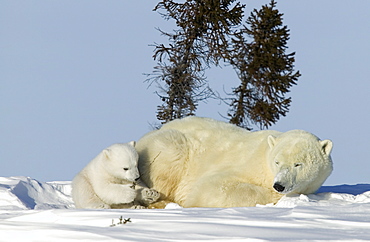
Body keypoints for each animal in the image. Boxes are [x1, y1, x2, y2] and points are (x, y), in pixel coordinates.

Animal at [135, 116, 332, 207]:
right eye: (277, 162)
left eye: (298, 164)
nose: (279, 185)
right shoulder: (246, 164)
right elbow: (213, 187)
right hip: (168, 146)